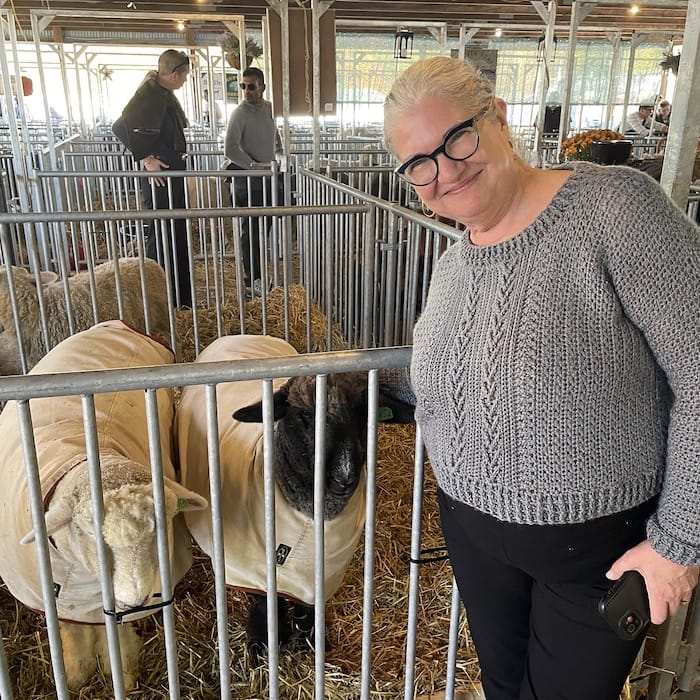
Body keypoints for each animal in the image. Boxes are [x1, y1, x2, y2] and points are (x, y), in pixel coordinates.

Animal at [0, 320, 208, 692]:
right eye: (89, 536)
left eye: (161, 531)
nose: (138, 598)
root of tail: (117, 323)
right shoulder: (61, 598)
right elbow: (72, 631)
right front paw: (76, 673)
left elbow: (116, 630)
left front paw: (121, 671)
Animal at [176, 336, 416, 660]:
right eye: (304, 415)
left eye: (366, 414)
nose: (345, 476)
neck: (309, 516)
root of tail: (238, 336)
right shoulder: (255, 567)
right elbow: (268, 603)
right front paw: (265, 641)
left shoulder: (325, 567)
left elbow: (309, 604)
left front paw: (311, 638)